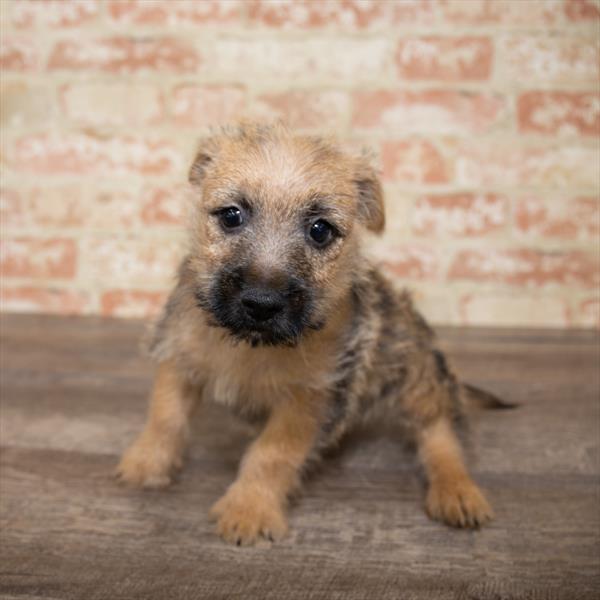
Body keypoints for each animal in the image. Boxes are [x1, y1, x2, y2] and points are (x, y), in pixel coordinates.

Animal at [115, 122, 504, 544]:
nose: (262, 302)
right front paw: (146, 463)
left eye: (320, 230)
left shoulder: (309, 398)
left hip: (416, 370)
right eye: (231, 215)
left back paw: (457, 490)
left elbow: (272, 453)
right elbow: (165, 414)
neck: (252, 347)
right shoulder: (178, 353)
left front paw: (249, 509)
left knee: (439, 430)